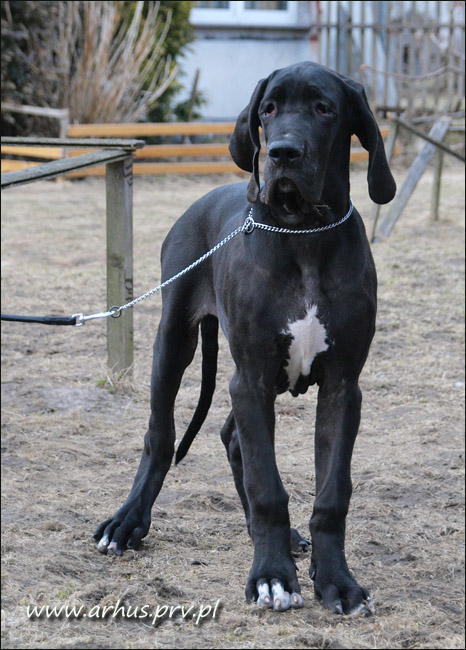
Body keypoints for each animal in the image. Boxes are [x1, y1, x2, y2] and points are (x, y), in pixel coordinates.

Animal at [94, 61, 396, 614]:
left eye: (325, 108)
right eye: (268, 109)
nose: (282, 153)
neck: (304, 233)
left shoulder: (342, 387)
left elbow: (332, 492)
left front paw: (336, 580)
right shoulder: (251, 378)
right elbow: (266, 484)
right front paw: (272, 576)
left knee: (232, 436)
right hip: (175, 342)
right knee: (161, 437)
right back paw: (127, 522)